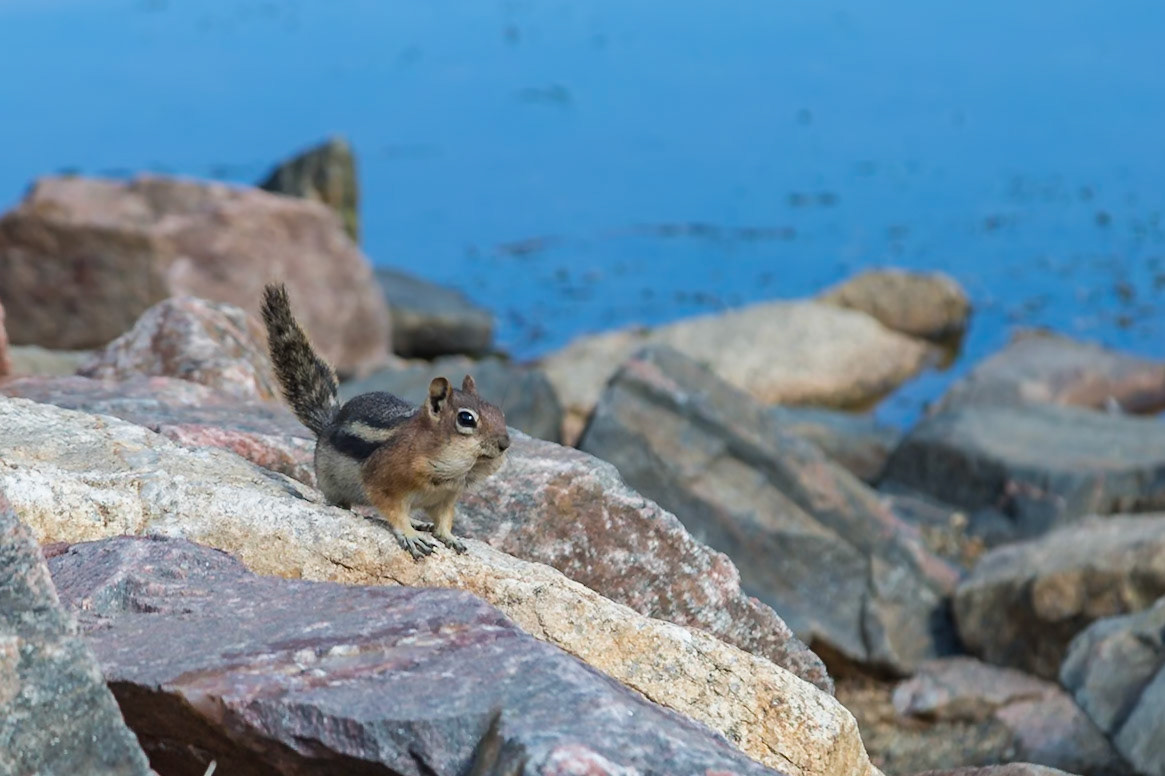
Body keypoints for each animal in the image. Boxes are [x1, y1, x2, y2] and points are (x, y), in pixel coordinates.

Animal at [259, 283, 511, 559]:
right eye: (466, 419)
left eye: (499, 413)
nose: (505, 443)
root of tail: (329, 424)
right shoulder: (383, 481)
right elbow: (393, 512)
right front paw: (410, 535)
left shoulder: (446, 498)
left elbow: (444, 520)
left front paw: (449, 537)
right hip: (332, 485)